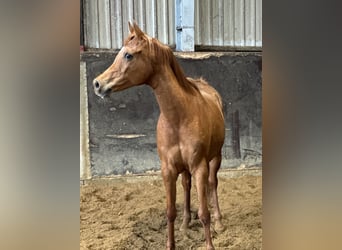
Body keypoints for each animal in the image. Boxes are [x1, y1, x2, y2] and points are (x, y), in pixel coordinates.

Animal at [93, 22, 224, 249]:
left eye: (128, 55)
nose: (97, 84)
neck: (179, 118)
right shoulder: (168, 170)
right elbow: (170, 212)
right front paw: (172, 242)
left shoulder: (199, 167)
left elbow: (204, 212)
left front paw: (210, 243)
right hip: (185, 168)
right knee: (186, 186)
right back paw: (185, 224)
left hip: (215, 158)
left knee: (212, 184)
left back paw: (219, 222)